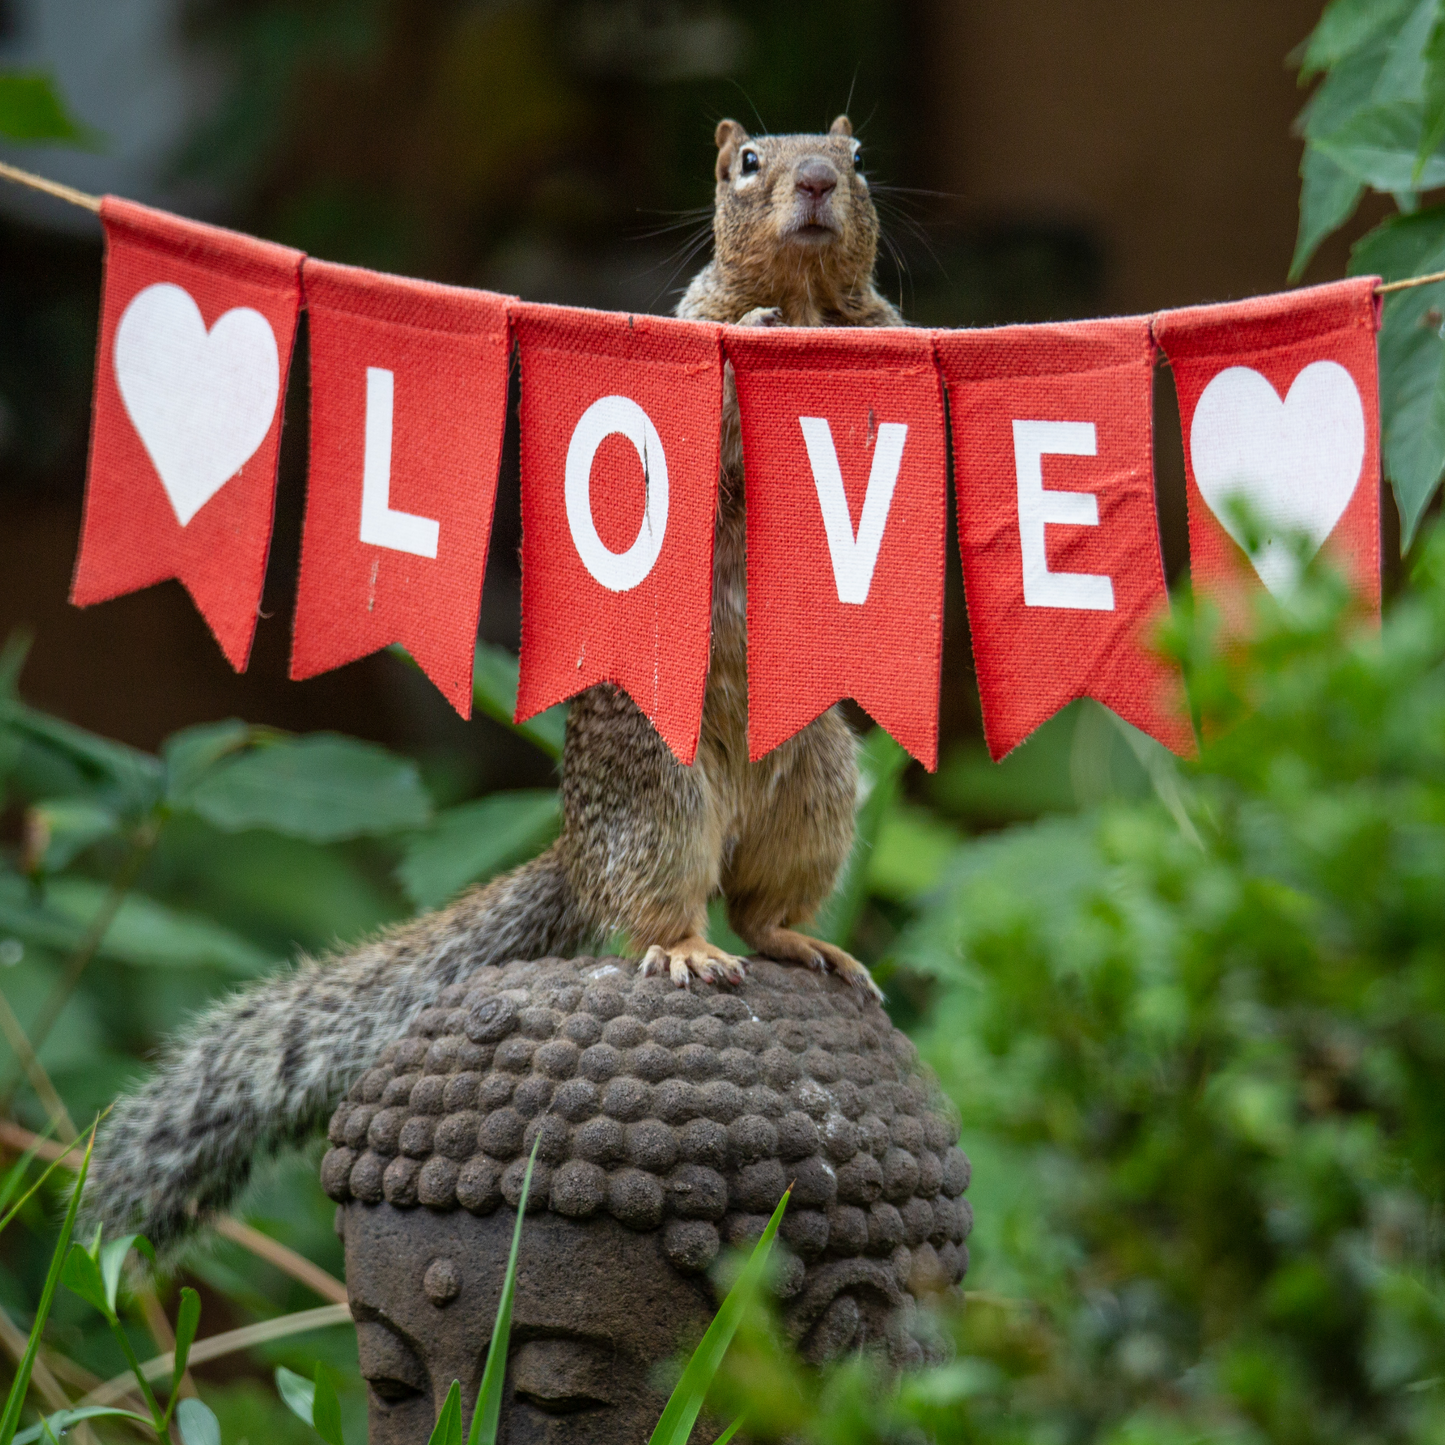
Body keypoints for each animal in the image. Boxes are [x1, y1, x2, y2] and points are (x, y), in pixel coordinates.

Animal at [84, 116, 905, 1256]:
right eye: (746, 166)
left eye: (860, 158)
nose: (820, 180)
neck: (812, 303)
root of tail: (576, 848)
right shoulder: (687, 363)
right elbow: (710, 438)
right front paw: (766, 331)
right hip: (661, 802)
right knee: (662, 913)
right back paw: (684, 951)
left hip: (816, 796)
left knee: (759, 906)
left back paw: (803, 939)